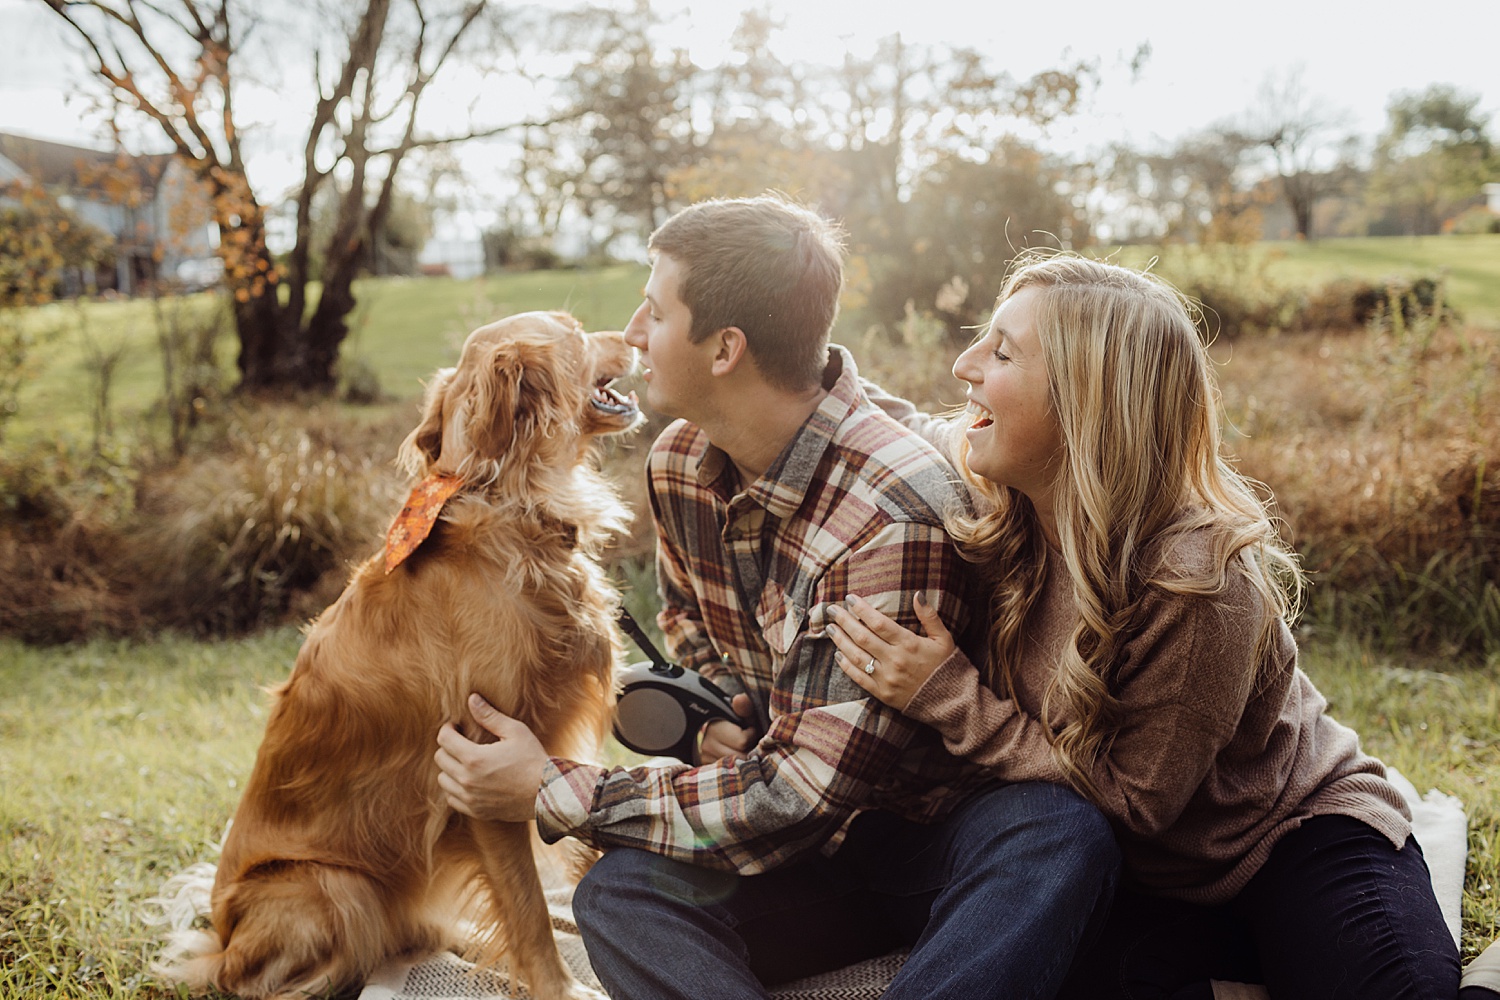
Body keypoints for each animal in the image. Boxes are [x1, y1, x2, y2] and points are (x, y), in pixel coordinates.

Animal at [162, 313, 639, 1000]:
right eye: (575, 331)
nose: (636, 332)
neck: (509, 502)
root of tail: (221, 939)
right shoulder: (481, 765)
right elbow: (523, 903)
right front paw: (561, 987)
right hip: (336, 889)